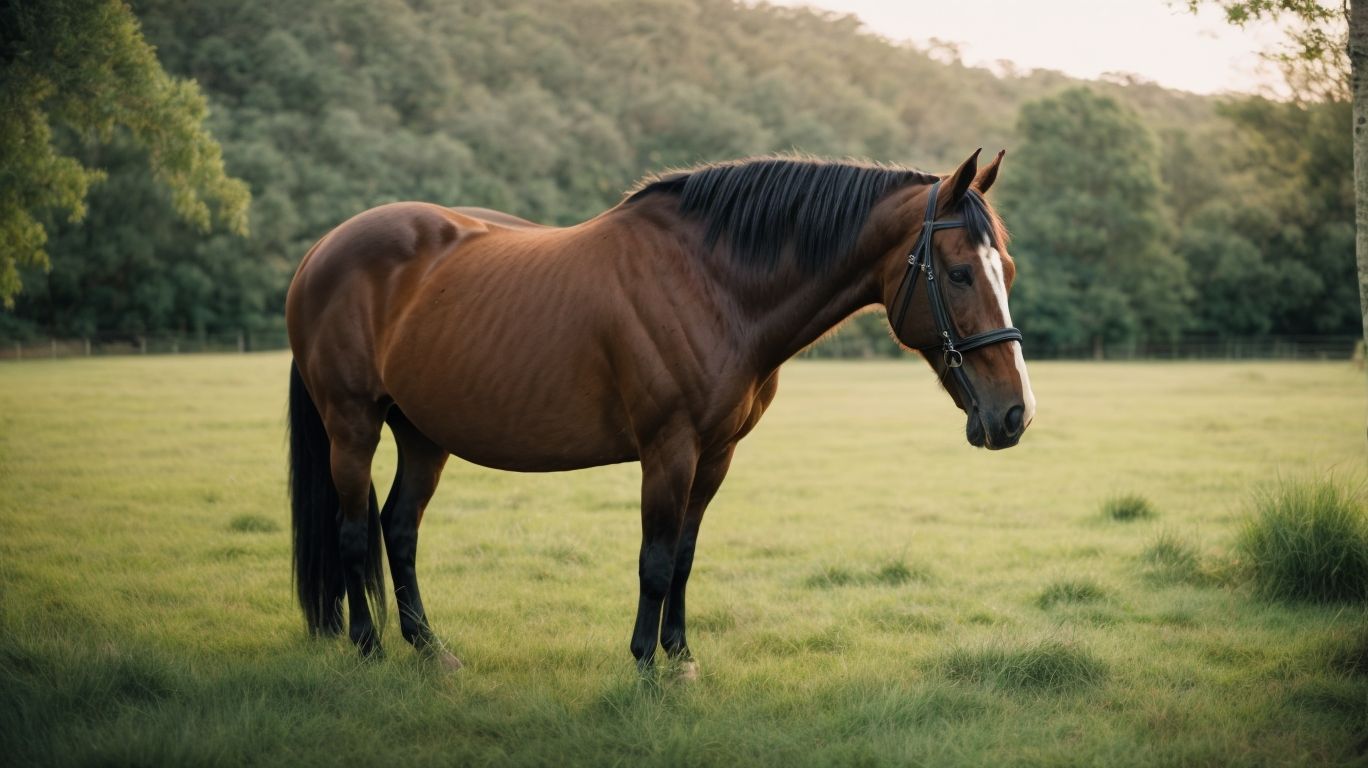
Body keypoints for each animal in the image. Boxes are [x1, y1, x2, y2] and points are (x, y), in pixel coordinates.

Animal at [285, 149, 1036, 672]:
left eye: (1007, 270)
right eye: (959, 272)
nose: (1015, 414)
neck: (712, 285)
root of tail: (321, 250)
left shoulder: (715, 454)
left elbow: (683, 556)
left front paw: (680, 656)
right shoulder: (668, 449)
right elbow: (653, 558)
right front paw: (646, 664)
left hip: (421, 433)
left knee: (399, 529)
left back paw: (430, 649)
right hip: (352, 425)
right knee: (355, 532)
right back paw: (369, 650)